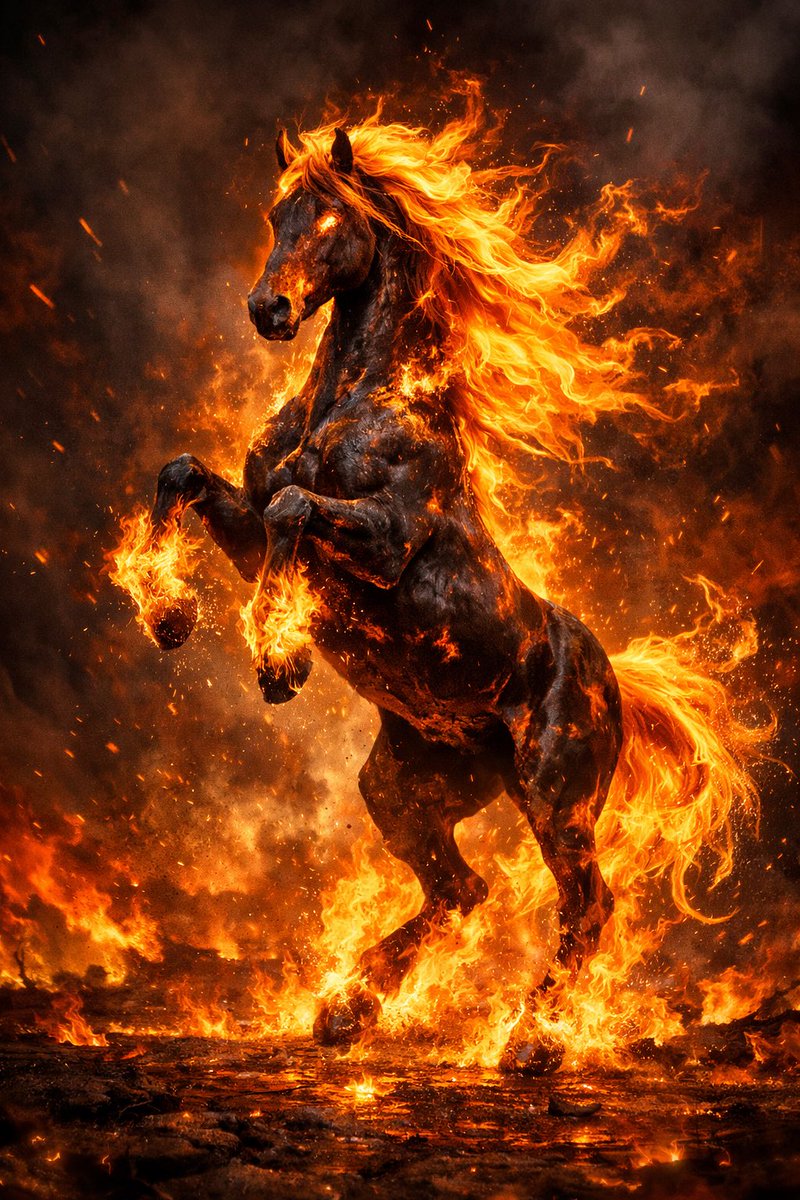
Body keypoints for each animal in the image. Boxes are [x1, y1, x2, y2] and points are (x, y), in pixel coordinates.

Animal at [129, 117, 755, 1074]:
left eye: (328, 219)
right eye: (277, 214)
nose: (268, 310)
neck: (353, 400)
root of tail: (612, 681)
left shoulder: (384, 541)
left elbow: (293, 506)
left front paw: (280, 665)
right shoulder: (244, 530)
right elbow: (188, 476)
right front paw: (167, 615)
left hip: (556, 797)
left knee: (587, 906)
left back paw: (530, 1045)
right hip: (406, 789)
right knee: (464, 889)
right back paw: (347, 1011)